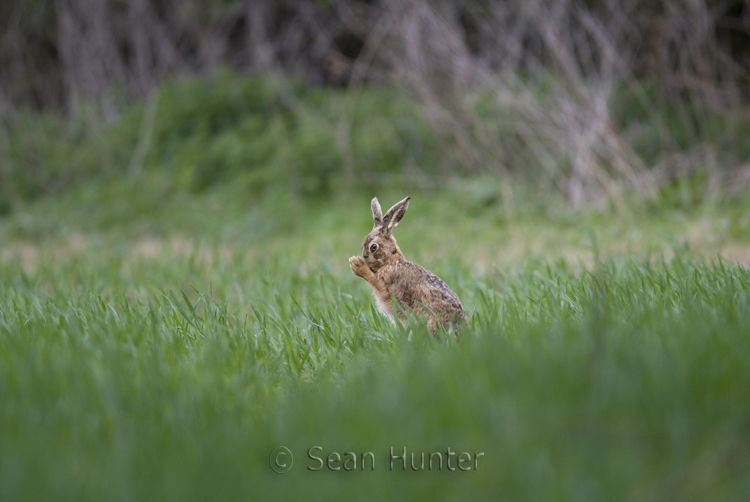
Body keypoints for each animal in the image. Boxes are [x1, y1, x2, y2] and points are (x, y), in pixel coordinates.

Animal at [349, 196, 465, 338]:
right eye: (362, 246)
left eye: (373, 247)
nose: (367, 263)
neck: (391, 261)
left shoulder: (388, 286)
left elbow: (374, 281)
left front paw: (356, 264)